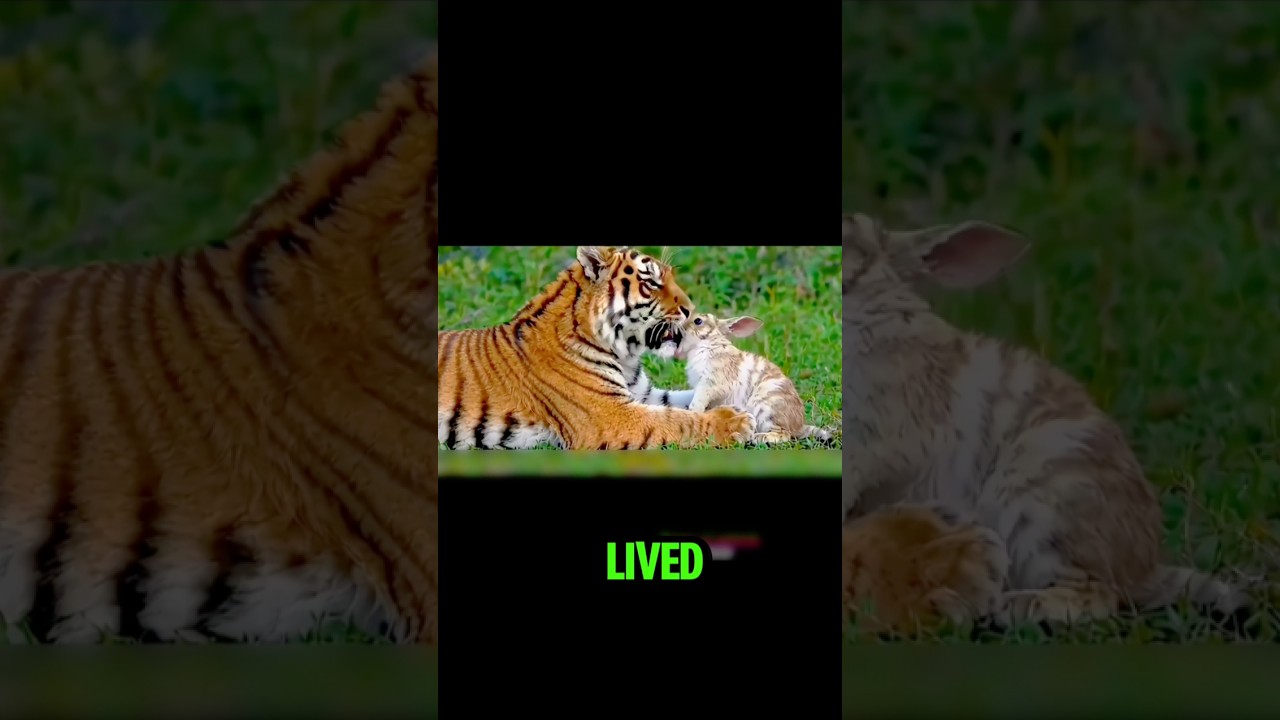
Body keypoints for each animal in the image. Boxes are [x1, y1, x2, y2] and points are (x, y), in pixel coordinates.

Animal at [437, 246, 754, 450]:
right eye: (652, 283)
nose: (690, 310)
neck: (624, 354)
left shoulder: (641, 394)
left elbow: (684, 401)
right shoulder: (610, 414)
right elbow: (676, 420)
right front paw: (736, 422)